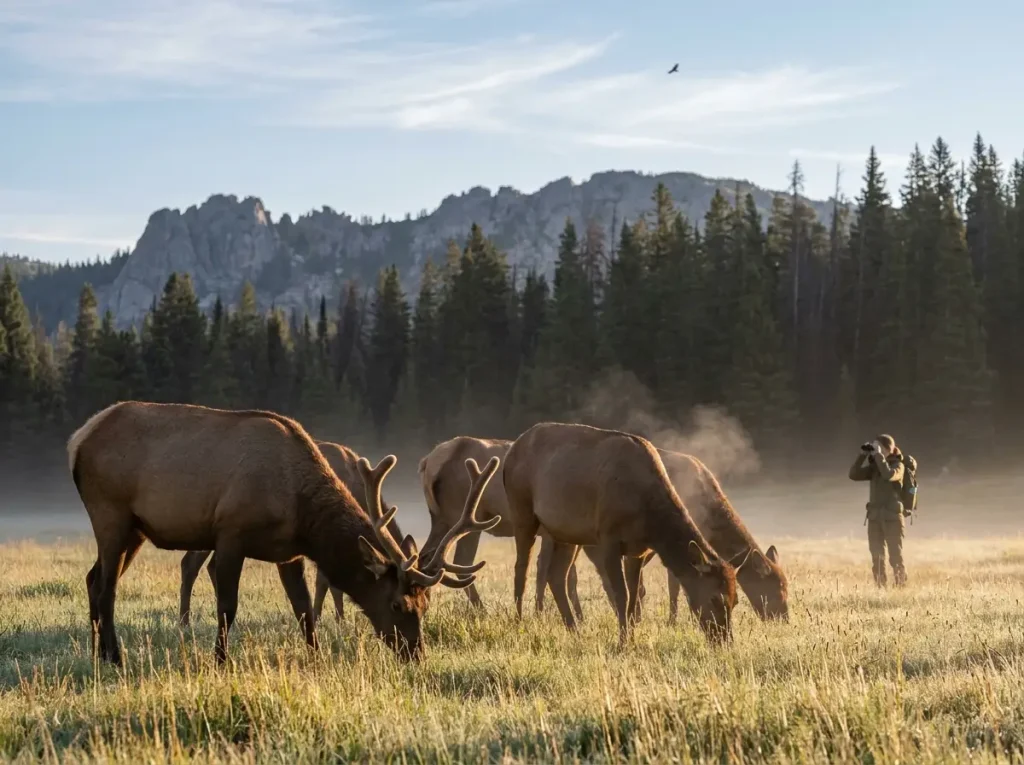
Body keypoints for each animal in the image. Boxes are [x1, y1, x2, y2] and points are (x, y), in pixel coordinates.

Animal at [502, 421, 737, 646]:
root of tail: (512, 451)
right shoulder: (608, 538)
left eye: (735, 600)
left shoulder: (638, 550)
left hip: (565, 531)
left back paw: (574, 631)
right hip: (520, 508)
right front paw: (622, 642)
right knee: (521, 568)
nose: (724, 640)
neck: (649, 521)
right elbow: (621, 596)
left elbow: (634, 597)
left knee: (556, 575)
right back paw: (519, 623)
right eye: (715, 598)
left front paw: (631, 639)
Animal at [535, 449, 788, 623]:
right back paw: (541, 613)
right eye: (774, 590)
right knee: (544, 565)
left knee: (566, 572)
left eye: (786, 586)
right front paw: (673, 619)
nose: (783, 619)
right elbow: (673, 584)